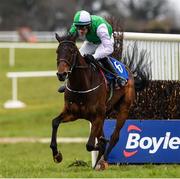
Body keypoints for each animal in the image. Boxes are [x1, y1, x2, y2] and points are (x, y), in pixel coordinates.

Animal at [50, 32, 150, 170]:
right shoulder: (72, 113)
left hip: (123, 109)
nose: (61, 74)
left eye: (72, 51)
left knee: (115, 136)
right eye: (57, 51)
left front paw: (101, 146)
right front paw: (57, 155)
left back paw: (103, 161)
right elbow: (55, 122)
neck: (82, 85)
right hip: (103, 115)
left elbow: (90, 145)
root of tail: (128, 71)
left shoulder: (97, 116)